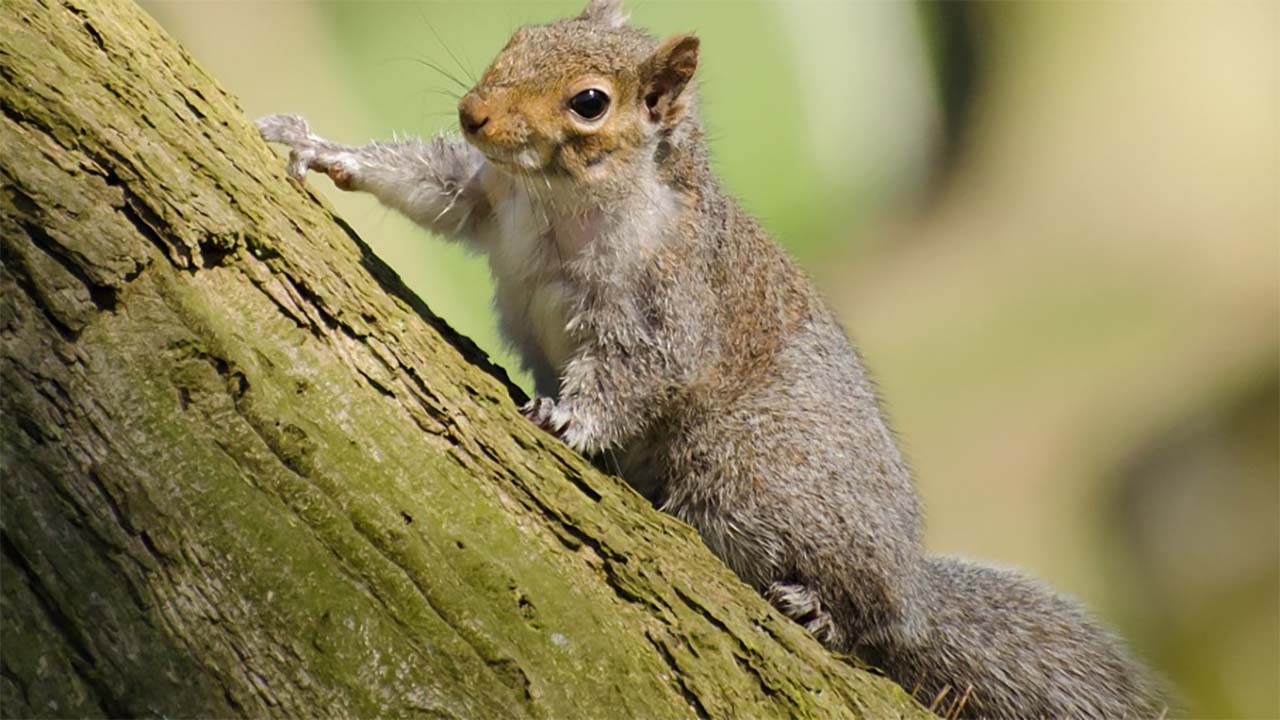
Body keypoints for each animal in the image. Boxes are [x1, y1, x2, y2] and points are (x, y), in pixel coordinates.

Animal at [254, 2, 1172, 712]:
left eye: (590, 103)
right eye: (521, 34)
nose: (474, 115)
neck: (564, 198)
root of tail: (912, 579)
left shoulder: (666, 304)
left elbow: (633, 373)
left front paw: (568, 417)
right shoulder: (488, 196)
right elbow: (430, 183)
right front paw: (321, 148)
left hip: (751, 471)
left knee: (869, 610)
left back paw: (826, 610)